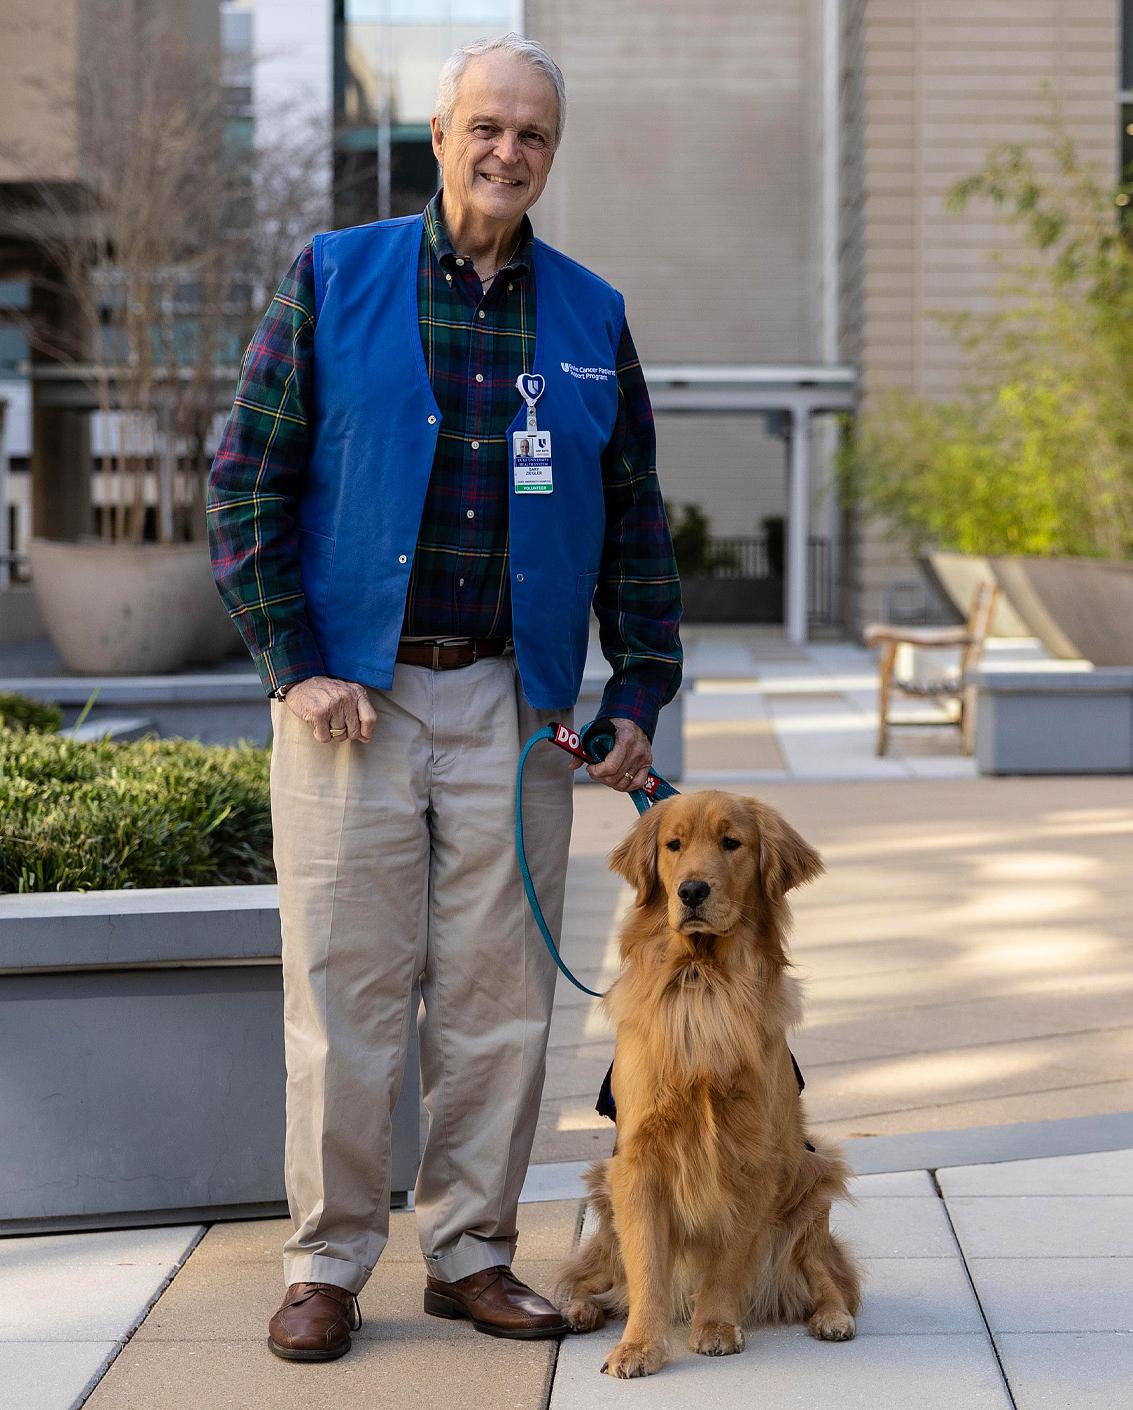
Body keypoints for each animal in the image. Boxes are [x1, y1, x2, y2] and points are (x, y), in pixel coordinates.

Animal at [555, 795, 856, 1376]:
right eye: (673, 845)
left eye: (731, 843)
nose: (692, 891)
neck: (701, 980)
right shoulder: (638, 1161)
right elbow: (647, 1266)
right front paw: (638, 1345)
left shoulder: (754, 1158)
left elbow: (729, 1258)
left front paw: (714, 1325)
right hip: (603, 1188)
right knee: (589, 1276)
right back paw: (578, 1308)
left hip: (814, 1183)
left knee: (830, 1276)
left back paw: (833, 1317)